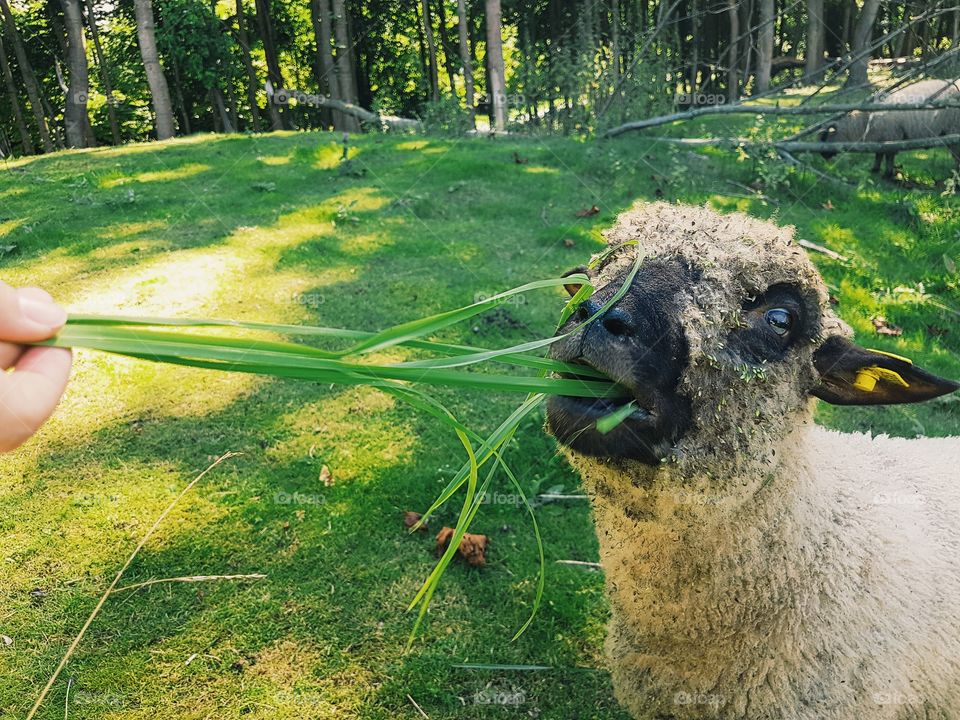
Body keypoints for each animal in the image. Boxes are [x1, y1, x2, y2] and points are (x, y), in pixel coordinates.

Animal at [819, 78, 960, 178]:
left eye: (825, 137)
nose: (822, 156)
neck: (863, 122)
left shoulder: (891, 137)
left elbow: (888, 156)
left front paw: (887, 174)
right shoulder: (880, 139)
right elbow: (879, 154)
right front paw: (875, 169)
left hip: (954, 130)